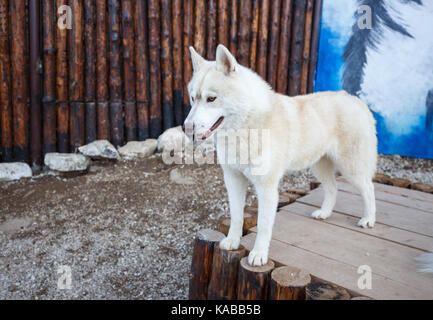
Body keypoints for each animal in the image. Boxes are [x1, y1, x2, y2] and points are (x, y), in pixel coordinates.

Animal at [186, 44, 378, 264]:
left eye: (211, 99)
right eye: (193, 98)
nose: (186, 127)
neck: (246, 126)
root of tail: (355, 100)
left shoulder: (267, 188)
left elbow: (263, 225)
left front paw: (259, 254)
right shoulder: (233, 180)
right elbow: (236, 215)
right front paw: (232, 241)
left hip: (351, 169)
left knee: (369, 189)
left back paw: (368, 219)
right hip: (319, 166)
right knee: (333, 188)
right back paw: (324, 213)